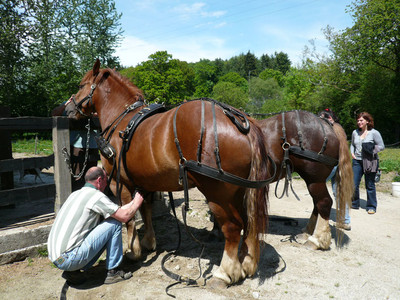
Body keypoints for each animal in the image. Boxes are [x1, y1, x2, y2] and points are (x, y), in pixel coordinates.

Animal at [65, 59, 272, 286]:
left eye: (80, 85)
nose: (67, 107)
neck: (122, 118)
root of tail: (239, 120)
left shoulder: (119, 183)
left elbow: (128, 216)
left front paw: (133, 250)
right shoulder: (145, 182)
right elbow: (145, 209)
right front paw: (148, 241)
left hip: (219, 194)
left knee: (233, 228)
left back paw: (225, 272)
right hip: (241, 191)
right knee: (249, 223)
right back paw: (246, 263)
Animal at [258, 110, 352, 248]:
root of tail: (328, 125)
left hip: (314, 179)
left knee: (324, 202)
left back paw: (317, 239)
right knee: (317, 203)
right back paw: (308, 232)